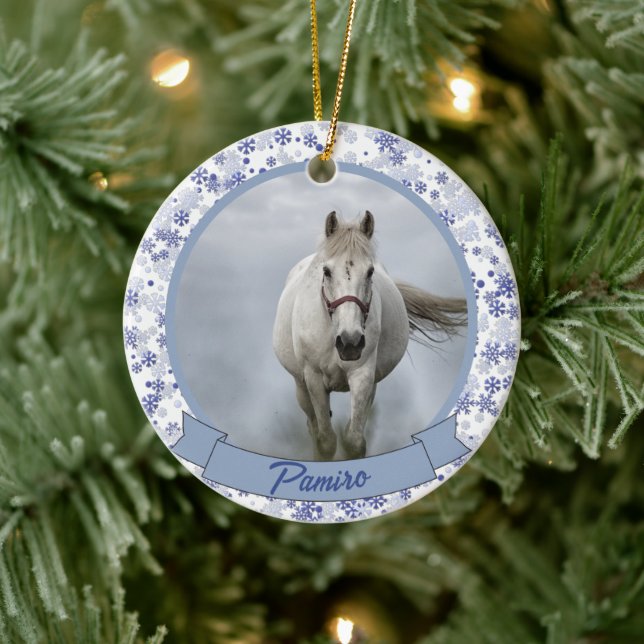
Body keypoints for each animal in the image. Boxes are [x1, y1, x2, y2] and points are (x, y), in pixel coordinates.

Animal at [272, 211, 467, 460]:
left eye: (370, 271)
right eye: (326, 271)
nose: (350, 342)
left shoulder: (363, 375)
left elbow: (354, 440)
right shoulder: (313, 378)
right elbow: (325, 441)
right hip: (301, 386)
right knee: (313, 427)